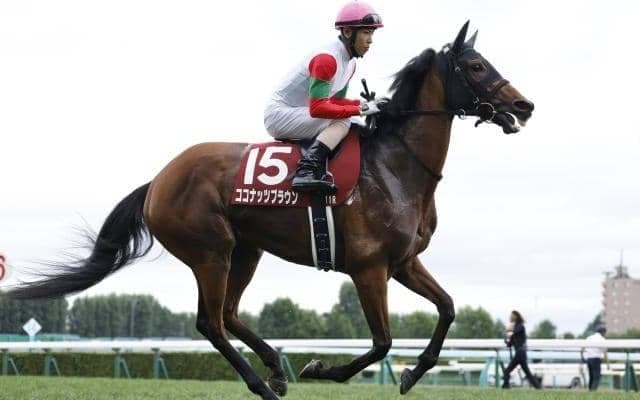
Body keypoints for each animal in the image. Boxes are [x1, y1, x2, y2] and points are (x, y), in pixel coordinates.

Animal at [3, 22, 534, 399]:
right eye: (476, 66)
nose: (524, 106)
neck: (395, 165)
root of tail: (159, 180)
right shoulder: (368, 267)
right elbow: (382, 342)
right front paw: (321, 368)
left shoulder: (402, 261)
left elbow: (447, 308)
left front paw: (411, 374)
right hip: (210, 250)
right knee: (211, 323)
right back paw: (264, 383)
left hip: (246, 250)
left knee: (229, 313)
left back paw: (276, 369)